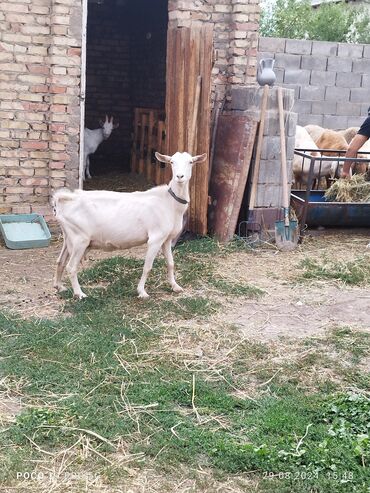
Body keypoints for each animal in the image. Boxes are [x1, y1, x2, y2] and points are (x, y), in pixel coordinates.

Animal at [53, 150, 207, 298]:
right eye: (171, 162)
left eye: (191, 162)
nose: (180, 176)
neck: (169, 202)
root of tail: (64, 200)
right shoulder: (155, 238)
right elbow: (147, 267)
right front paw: (142, 292)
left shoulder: (167, 239)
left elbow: (170, 263)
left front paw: (175, 286)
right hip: (80, 239)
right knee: (71, 267)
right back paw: (80, 294)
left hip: (69, 238)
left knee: (60, 261)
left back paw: (59, 286)